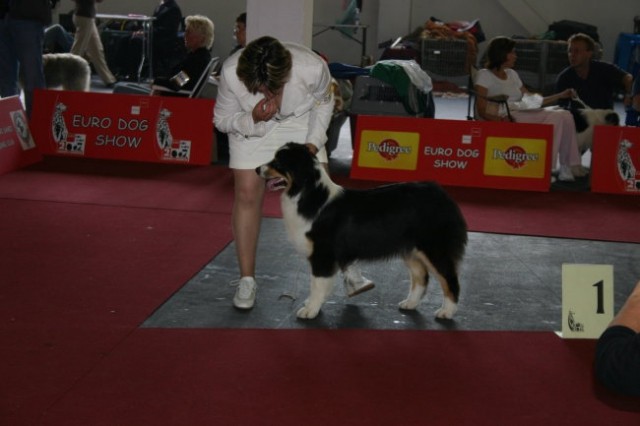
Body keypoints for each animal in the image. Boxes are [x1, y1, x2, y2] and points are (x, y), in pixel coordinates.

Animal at [254, 143, 464, 320]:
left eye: (278, 162)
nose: (256, 169)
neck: (307, 194)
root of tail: (441, 193)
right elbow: (322, 284)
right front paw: (314, 304)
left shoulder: (323, 254)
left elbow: (317, 283)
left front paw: (310, 310)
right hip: (410, 249)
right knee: (422, 277)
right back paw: (410, 303)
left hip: (434, 248)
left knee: (450, 279)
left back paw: (447, 311)